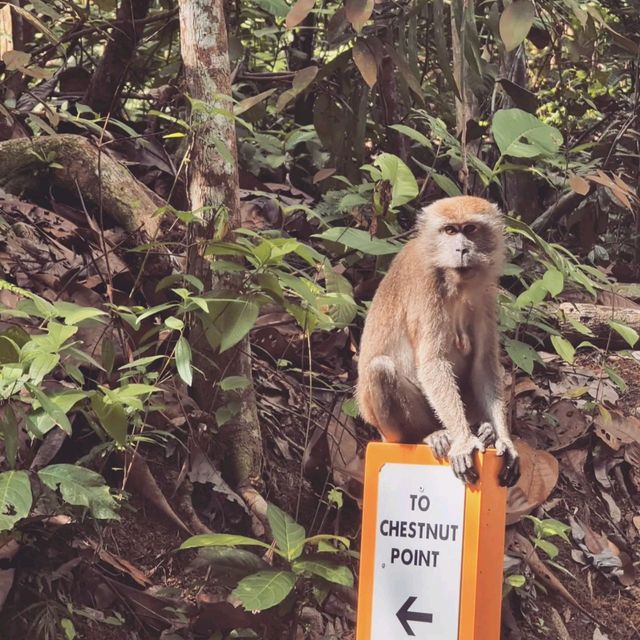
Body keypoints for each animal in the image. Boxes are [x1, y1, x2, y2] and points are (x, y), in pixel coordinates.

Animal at [356, 195, 520, 484]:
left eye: (471, 229)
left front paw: (504, 440)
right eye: (450, 231)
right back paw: (428, 436)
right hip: (388, 427)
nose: (462, 249)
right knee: (380, 368)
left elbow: (484, 365)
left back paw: (486, 430)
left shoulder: (486, 294)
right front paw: (464, 442)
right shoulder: (425, 283)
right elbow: (433, 362)